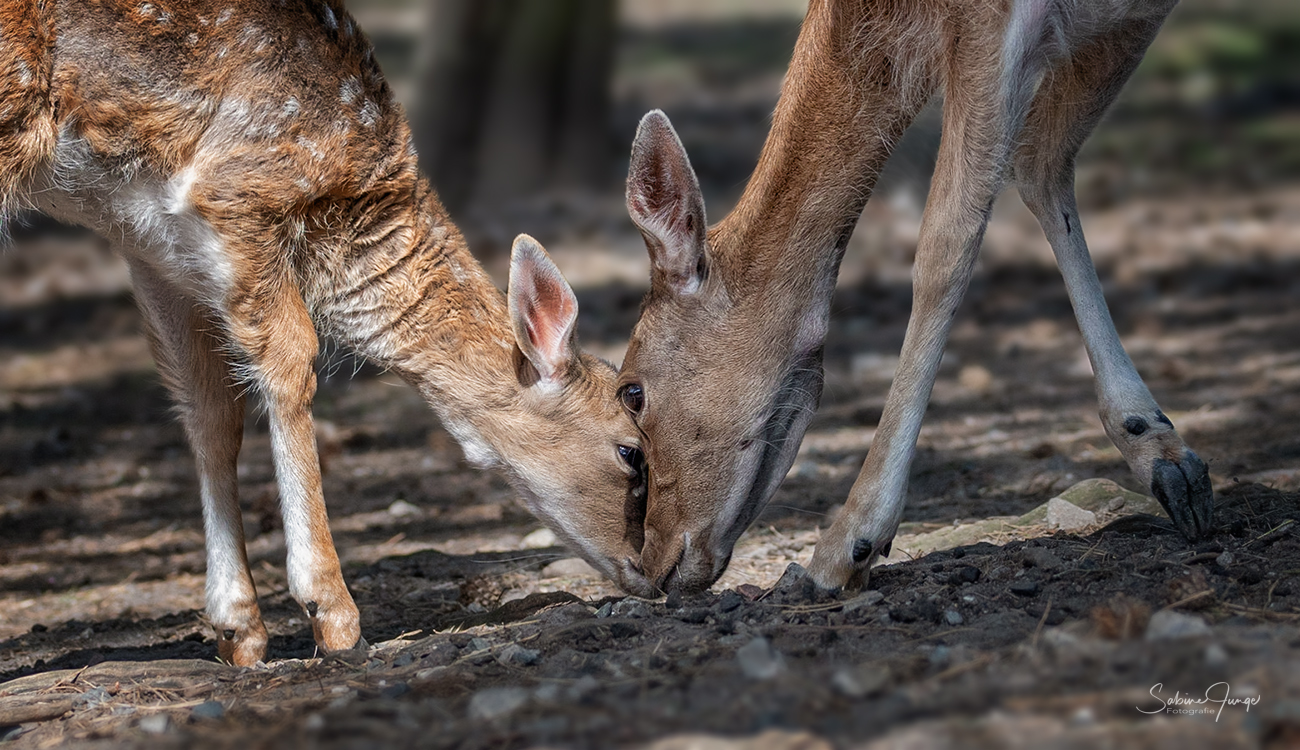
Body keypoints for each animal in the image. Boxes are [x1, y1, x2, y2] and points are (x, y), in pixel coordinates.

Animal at [0, 0, 650, 665]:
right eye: (632, 451)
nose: (655, 572)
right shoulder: (237, 191)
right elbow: (291, 364)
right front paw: (334, 614)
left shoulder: (148, 243)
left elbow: (209, 412)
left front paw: (239, 630)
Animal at [616, 0, 1206, 597]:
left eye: (632, 392)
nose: (655, 565)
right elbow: (1043, 167)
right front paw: (1164, 455)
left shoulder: (992, 22)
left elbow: (946, 243)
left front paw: (846, 546)